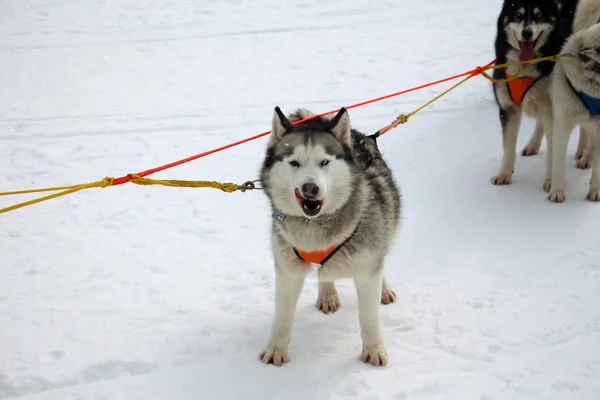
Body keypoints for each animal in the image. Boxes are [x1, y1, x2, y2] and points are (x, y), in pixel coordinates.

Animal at [258, 105, 404, 366]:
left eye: (324, 161)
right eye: (294, 162)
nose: (310, 188)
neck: (315, 229)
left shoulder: (367, 270)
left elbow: (369, 318)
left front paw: (374, 350)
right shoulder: (287, 269)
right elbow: (282, 316)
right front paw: (276, 349)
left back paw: (384, 289)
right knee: (325, 274)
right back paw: (327, 294)